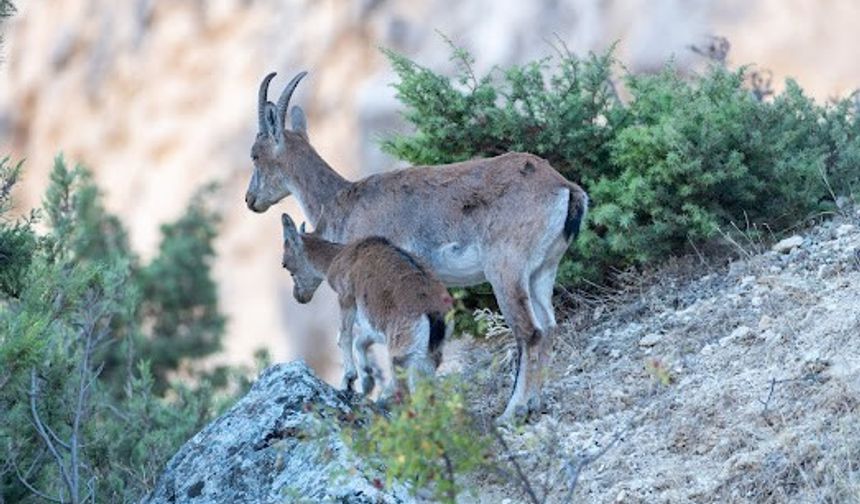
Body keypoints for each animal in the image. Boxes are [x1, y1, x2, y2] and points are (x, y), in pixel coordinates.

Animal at [284, 213, 456, 398]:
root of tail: (434, 314)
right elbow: (360, 341)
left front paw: (348, 380)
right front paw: (367, 381)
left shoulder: (346, 297)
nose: (299, 296)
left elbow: (344, 336)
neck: (340, 256)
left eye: (285, 264)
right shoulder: (374, 326)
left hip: (402, 357)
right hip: (429, 358)